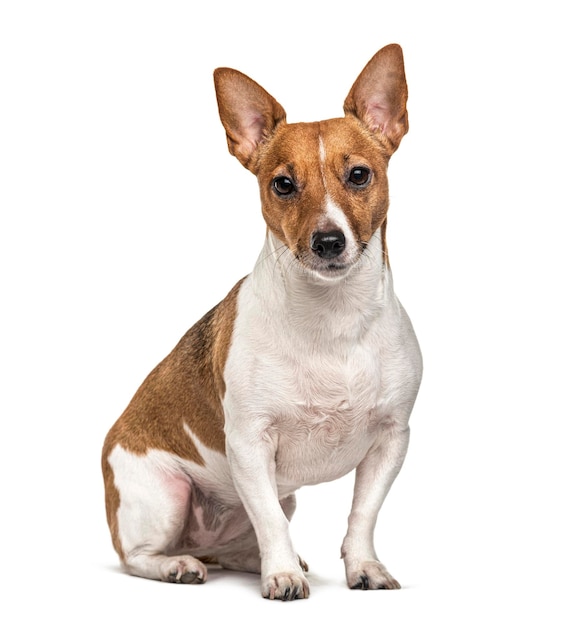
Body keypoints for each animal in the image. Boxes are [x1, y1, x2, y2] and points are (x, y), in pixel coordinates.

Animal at [100, 44, 420, 600]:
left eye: (359, 175)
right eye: (283, 185)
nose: (328, 241)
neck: (332, 316)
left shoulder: (390, 440)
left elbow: (362, 514)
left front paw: (363, 567)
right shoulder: (251, 444)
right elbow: (269, 520)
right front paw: (283, 576)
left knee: (239, 544)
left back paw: (260, 559)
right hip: (164, 495)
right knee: (139, 556)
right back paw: (180, 564)